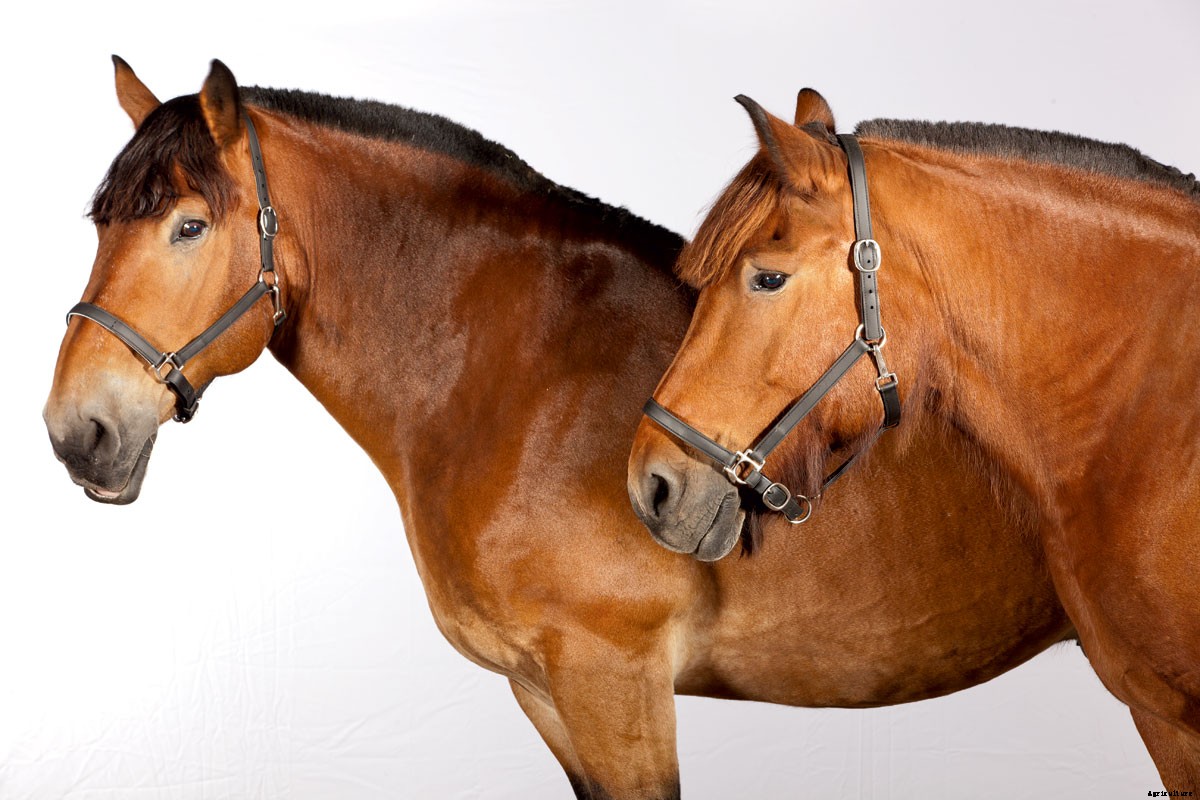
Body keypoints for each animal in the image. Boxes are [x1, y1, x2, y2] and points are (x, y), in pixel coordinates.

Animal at [45, 60, 1070, 799]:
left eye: (188, 226)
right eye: (99, 223)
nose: (75, 429)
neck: (521, 375)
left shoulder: (615, 685)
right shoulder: (543, 691)